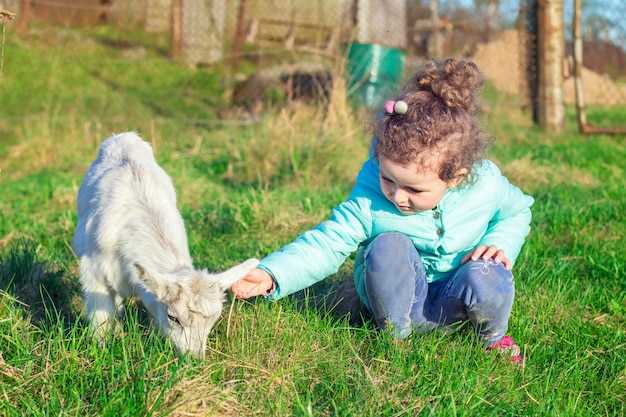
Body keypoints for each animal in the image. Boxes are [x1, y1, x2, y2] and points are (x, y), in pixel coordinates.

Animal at [72, 132, 256, 356]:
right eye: (173, 317)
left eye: (213, 320)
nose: (195, 358)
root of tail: (124, 136)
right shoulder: (94, 273)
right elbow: (102, 319)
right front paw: (101, 348)